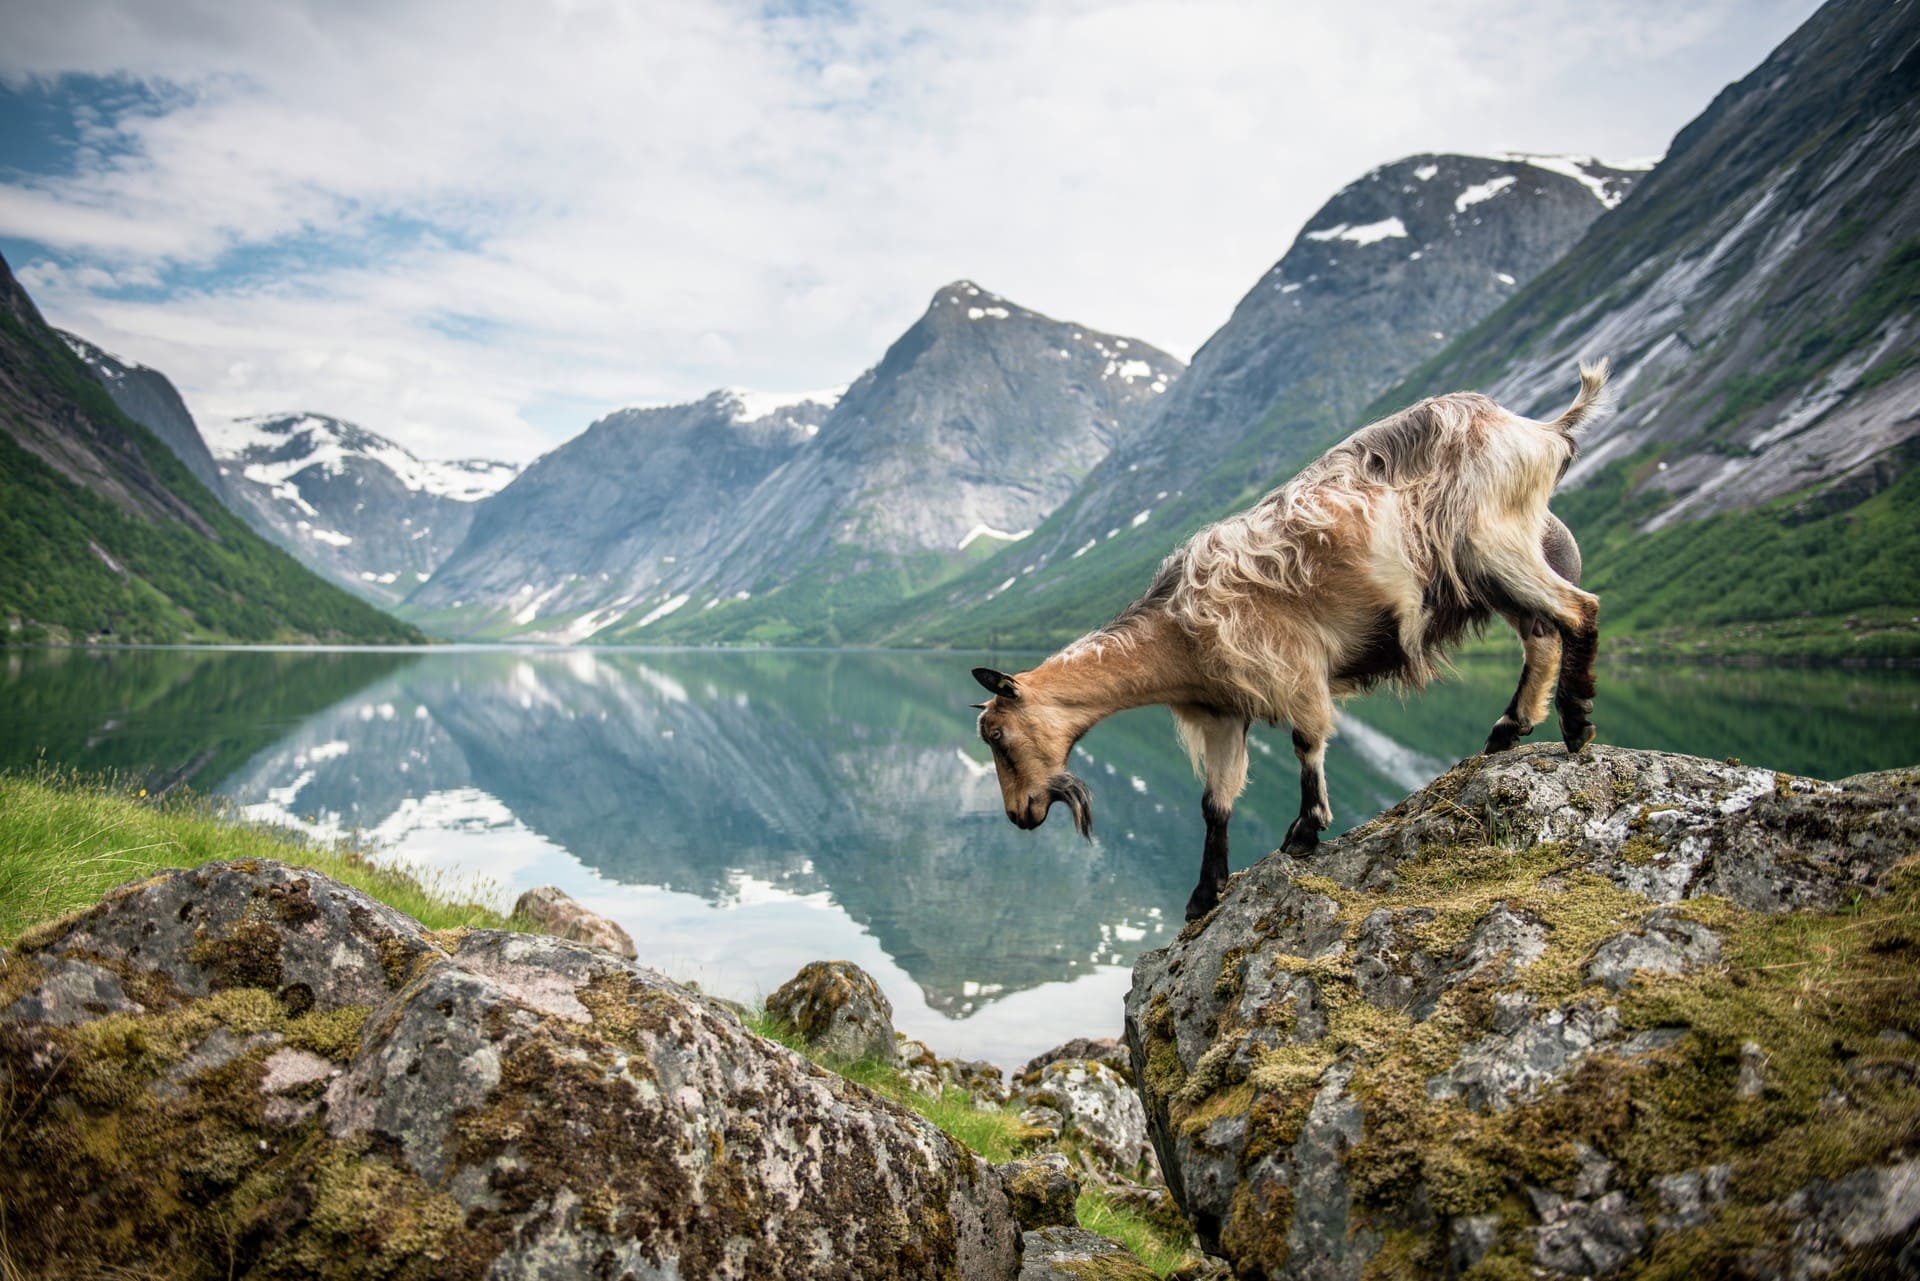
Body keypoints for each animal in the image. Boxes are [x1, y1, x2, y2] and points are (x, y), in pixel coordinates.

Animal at [975, 361, 1605, 921]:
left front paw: (1304, 831)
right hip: (1489, 569)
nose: (1018, 815)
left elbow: (1307, 743)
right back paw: (1508, 730)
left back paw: (1575, 724)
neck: (1177, 630)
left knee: (1579, 610)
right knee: (1542, 634)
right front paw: (1204, 895)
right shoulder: (1224, 712)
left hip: (1493, 542)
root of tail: (1541, 432)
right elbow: (1215, 804)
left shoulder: (1294, 666)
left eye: (998, 736)